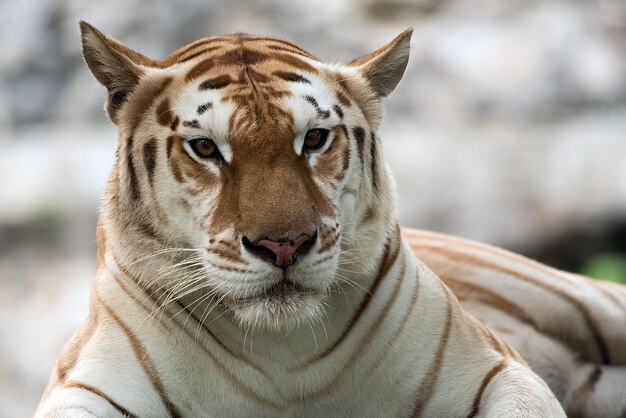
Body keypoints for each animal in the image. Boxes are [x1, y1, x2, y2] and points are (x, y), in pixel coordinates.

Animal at [35, 21, 584, 416]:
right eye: (206, 148)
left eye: (315, 139)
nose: (284, 245)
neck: (282, 353)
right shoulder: (88, 384)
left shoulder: (494, 369)